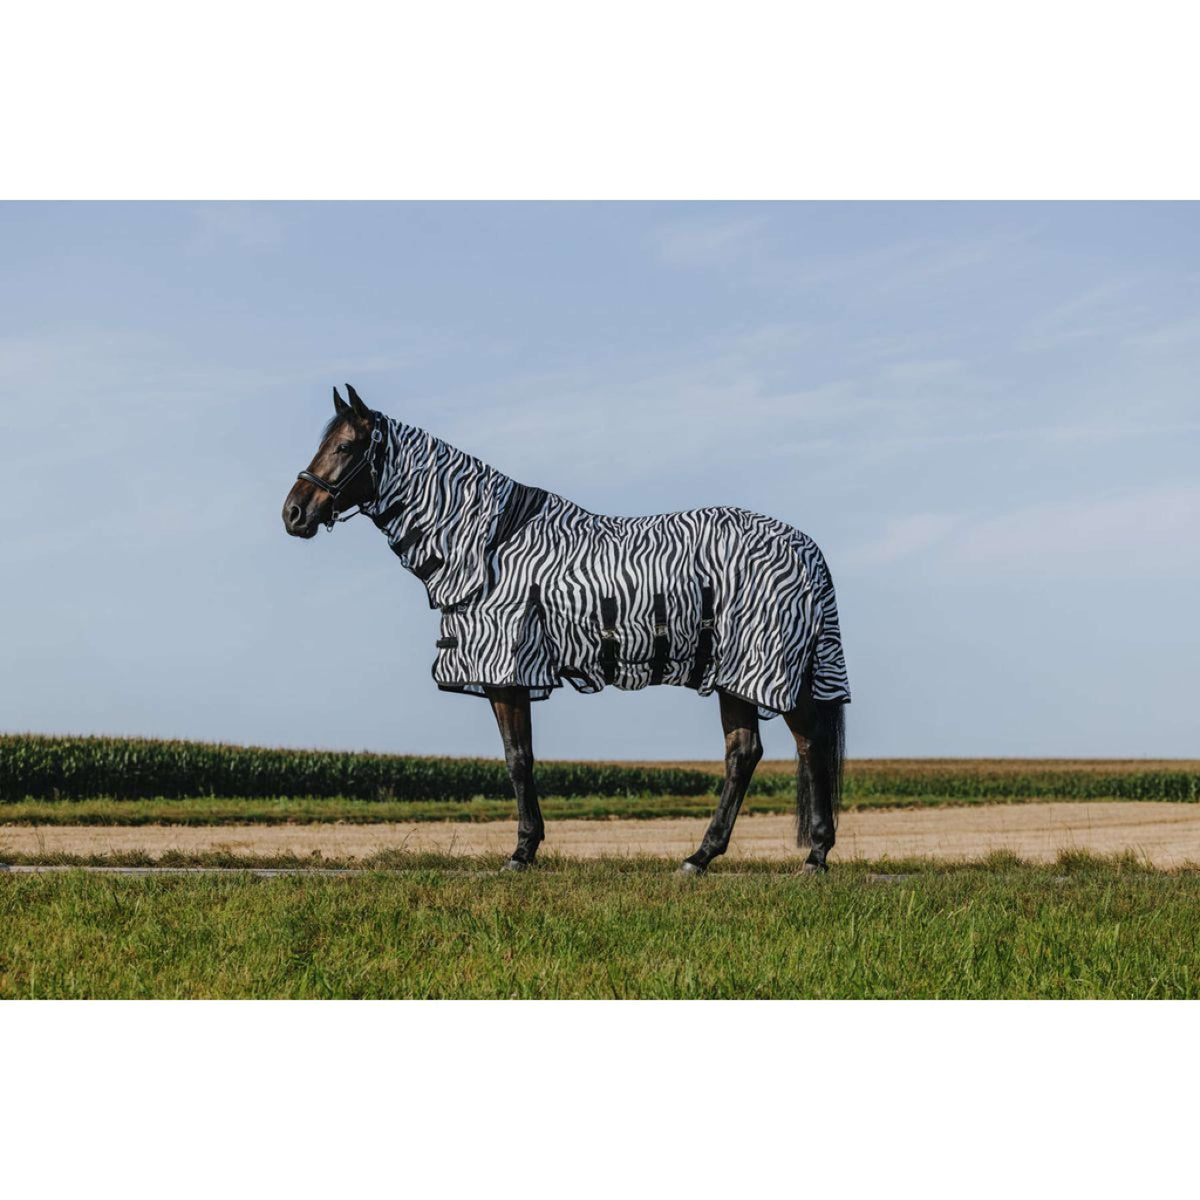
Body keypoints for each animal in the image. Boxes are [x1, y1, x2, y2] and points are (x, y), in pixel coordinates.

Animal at [283, 385, 850, 874]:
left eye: (346, 446)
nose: (293, 513)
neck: (489, 544)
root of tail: (807, 547)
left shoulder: (508, 672)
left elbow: (518, 759)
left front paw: (522, 851)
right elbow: (522, 757)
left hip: (761, 667)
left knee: (802, 746)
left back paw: (807, 856)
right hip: (739, 674)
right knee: (749, 752)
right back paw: (709, 856)